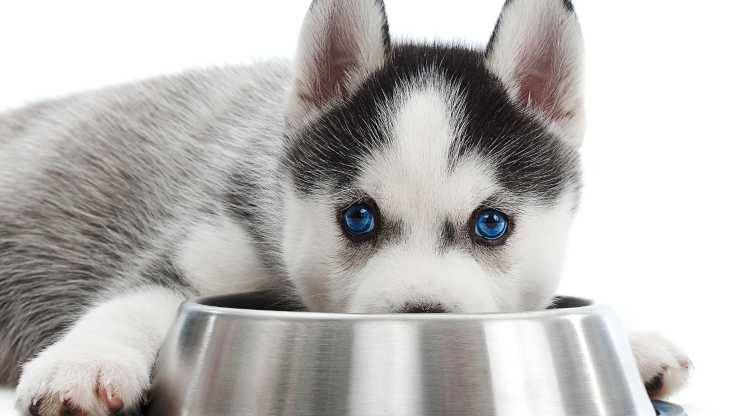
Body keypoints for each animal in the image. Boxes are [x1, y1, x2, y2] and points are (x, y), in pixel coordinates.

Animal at [2, 0, 692, 416]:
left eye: (491, 223)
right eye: (358, 217)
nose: (421, 320)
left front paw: (635, 346)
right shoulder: (209, 235)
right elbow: (137, 301)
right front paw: (83, 364)